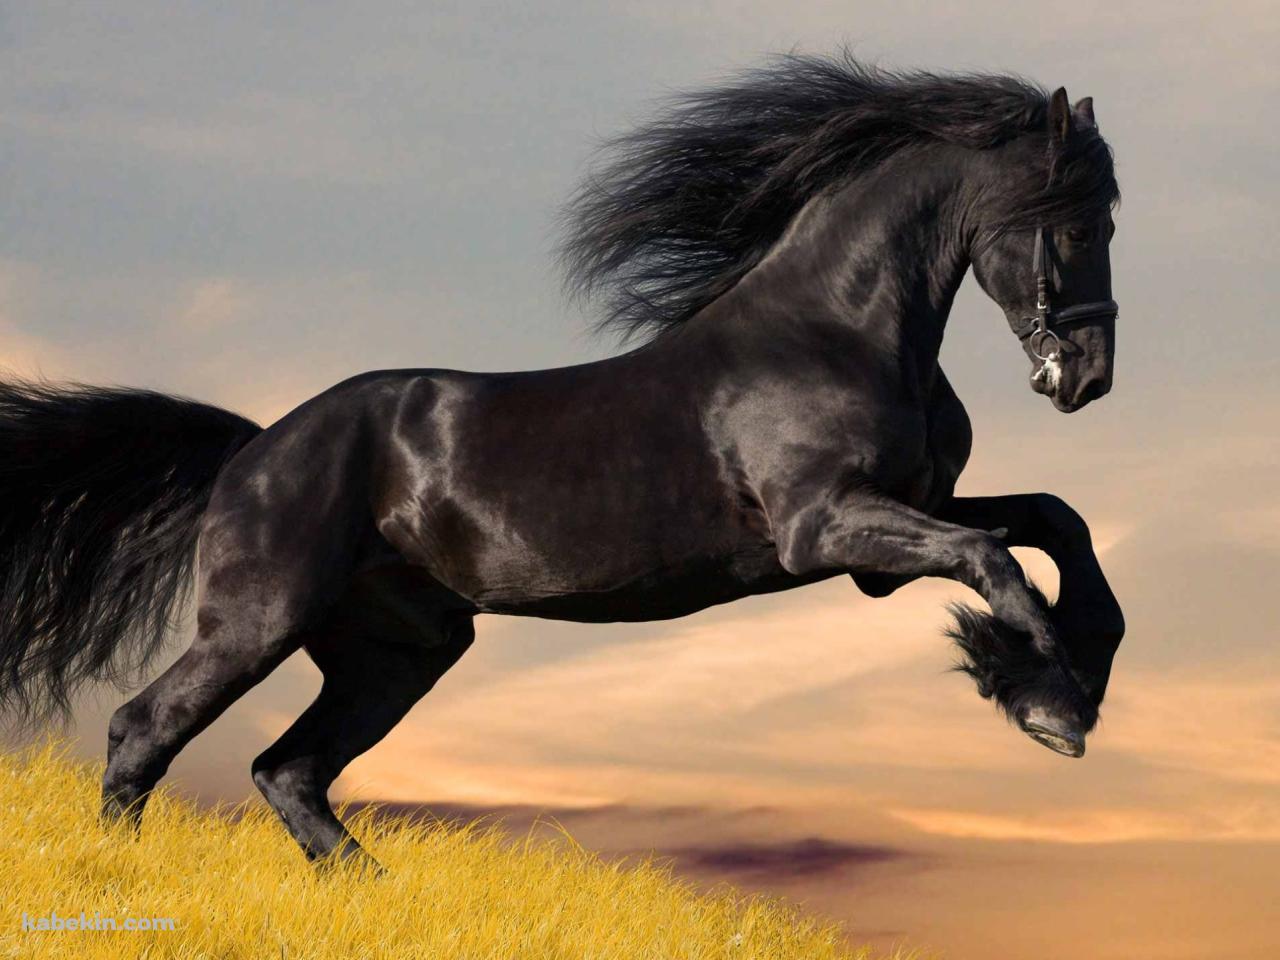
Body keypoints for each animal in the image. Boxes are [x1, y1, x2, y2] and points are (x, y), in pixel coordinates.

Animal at [0, 53, 1124, 868]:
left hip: (398, 649)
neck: (834, 332)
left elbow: (1052, 521)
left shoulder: (893, 529)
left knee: (289, 771)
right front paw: (1048, 702)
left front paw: (1066, 677)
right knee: (144, 730)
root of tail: (255, 447)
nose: (1087, 377)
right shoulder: (827, 530)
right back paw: (119, 876)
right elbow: (996, 558)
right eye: (1072, 222)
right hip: (259, 620)